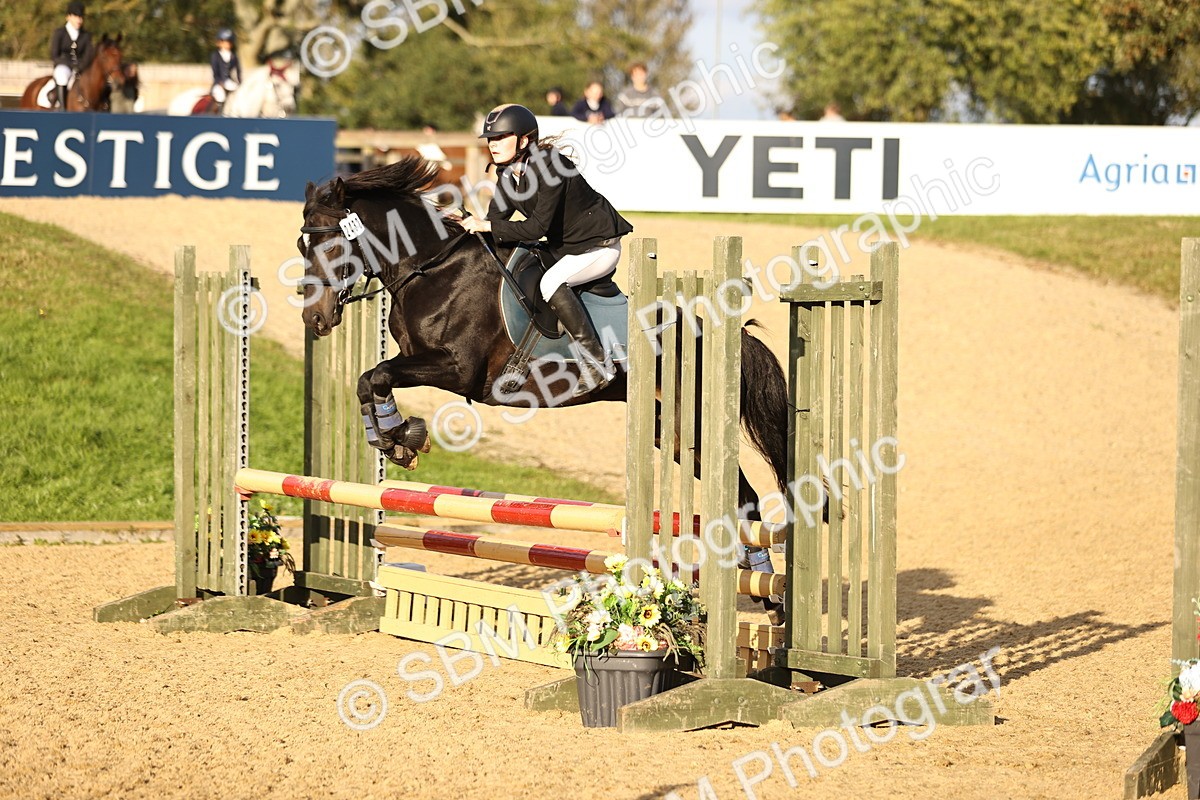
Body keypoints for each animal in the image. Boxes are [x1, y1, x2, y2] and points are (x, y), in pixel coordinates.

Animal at [298, 156, 793, 618]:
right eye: (304, 244)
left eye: (334, 243)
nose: (314, 319)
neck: (433, 269)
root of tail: (721, 334)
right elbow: (368, 380)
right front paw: (393, 439)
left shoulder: (457, 368)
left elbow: (377, 375)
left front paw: (402, 437)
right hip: (667, 433)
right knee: (741, 499)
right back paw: (761, 587)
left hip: (691, 426)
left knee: (746, 499)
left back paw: (767, 592)